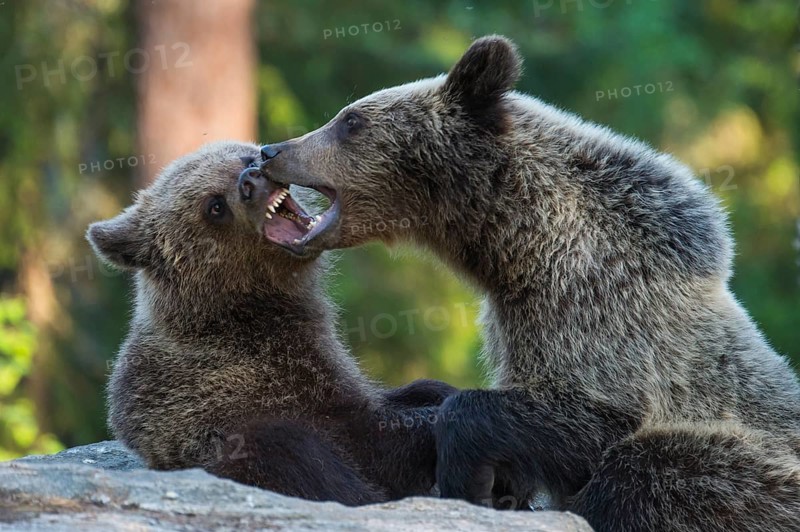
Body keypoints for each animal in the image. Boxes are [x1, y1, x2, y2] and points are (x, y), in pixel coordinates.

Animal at [86, 141, 457, 506]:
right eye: (214, 205)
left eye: (245, 158)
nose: (251, 181)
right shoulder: (264, 381)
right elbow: (371, 441)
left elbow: (406, 393)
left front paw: (436, 392)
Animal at [255, 36, 800, 531]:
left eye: (351, 120)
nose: (270, 150)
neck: (525, 250)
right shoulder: (514, 321)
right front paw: (498, 488)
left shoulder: (601, 313)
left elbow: (582, 420)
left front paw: (467, 477)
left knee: (649, 472)